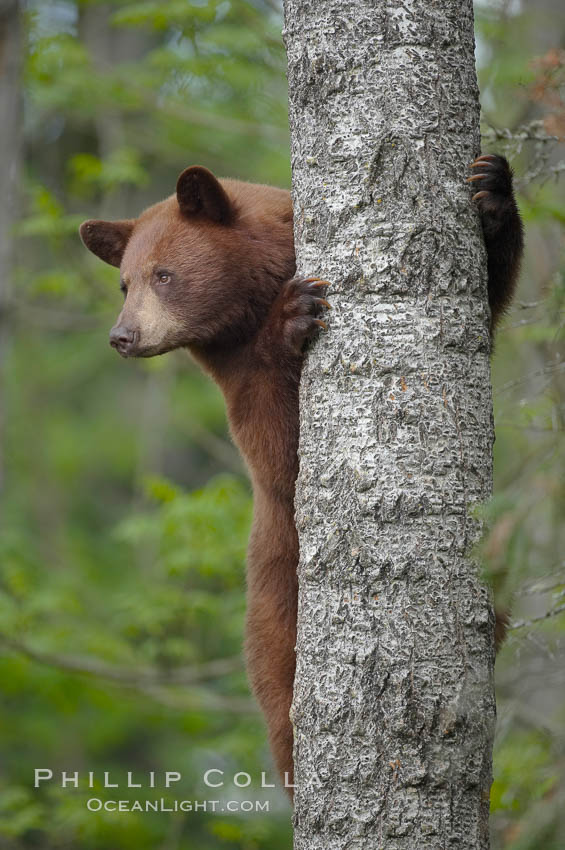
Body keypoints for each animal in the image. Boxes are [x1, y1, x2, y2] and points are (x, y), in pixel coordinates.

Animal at [77, 154, 524, 796]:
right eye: (124, 283)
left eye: (161, 274)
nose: (122, 336)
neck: (252, 299)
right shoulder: (236, 375)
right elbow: (279, 450)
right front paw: (295, 316)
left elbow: (488, 303)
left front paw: (491, 188)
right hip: (276, 620)